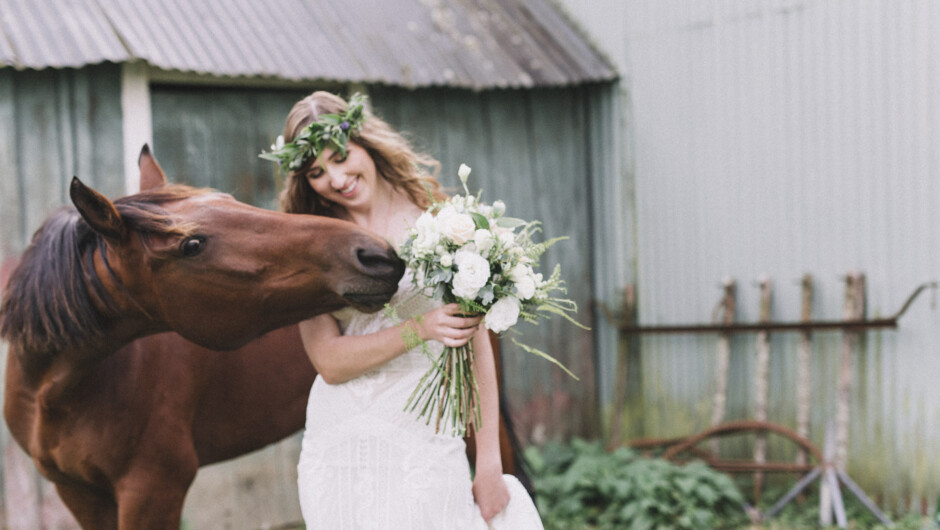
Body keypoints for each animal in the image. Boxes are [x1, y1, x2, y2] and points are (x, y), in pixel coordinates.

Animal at [0, 146, 404, 524]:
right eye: (191, 245)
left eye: (230, 201)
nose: (375, 254)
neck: (55, 389)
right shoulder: (77, 491)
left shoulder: (154, 487)